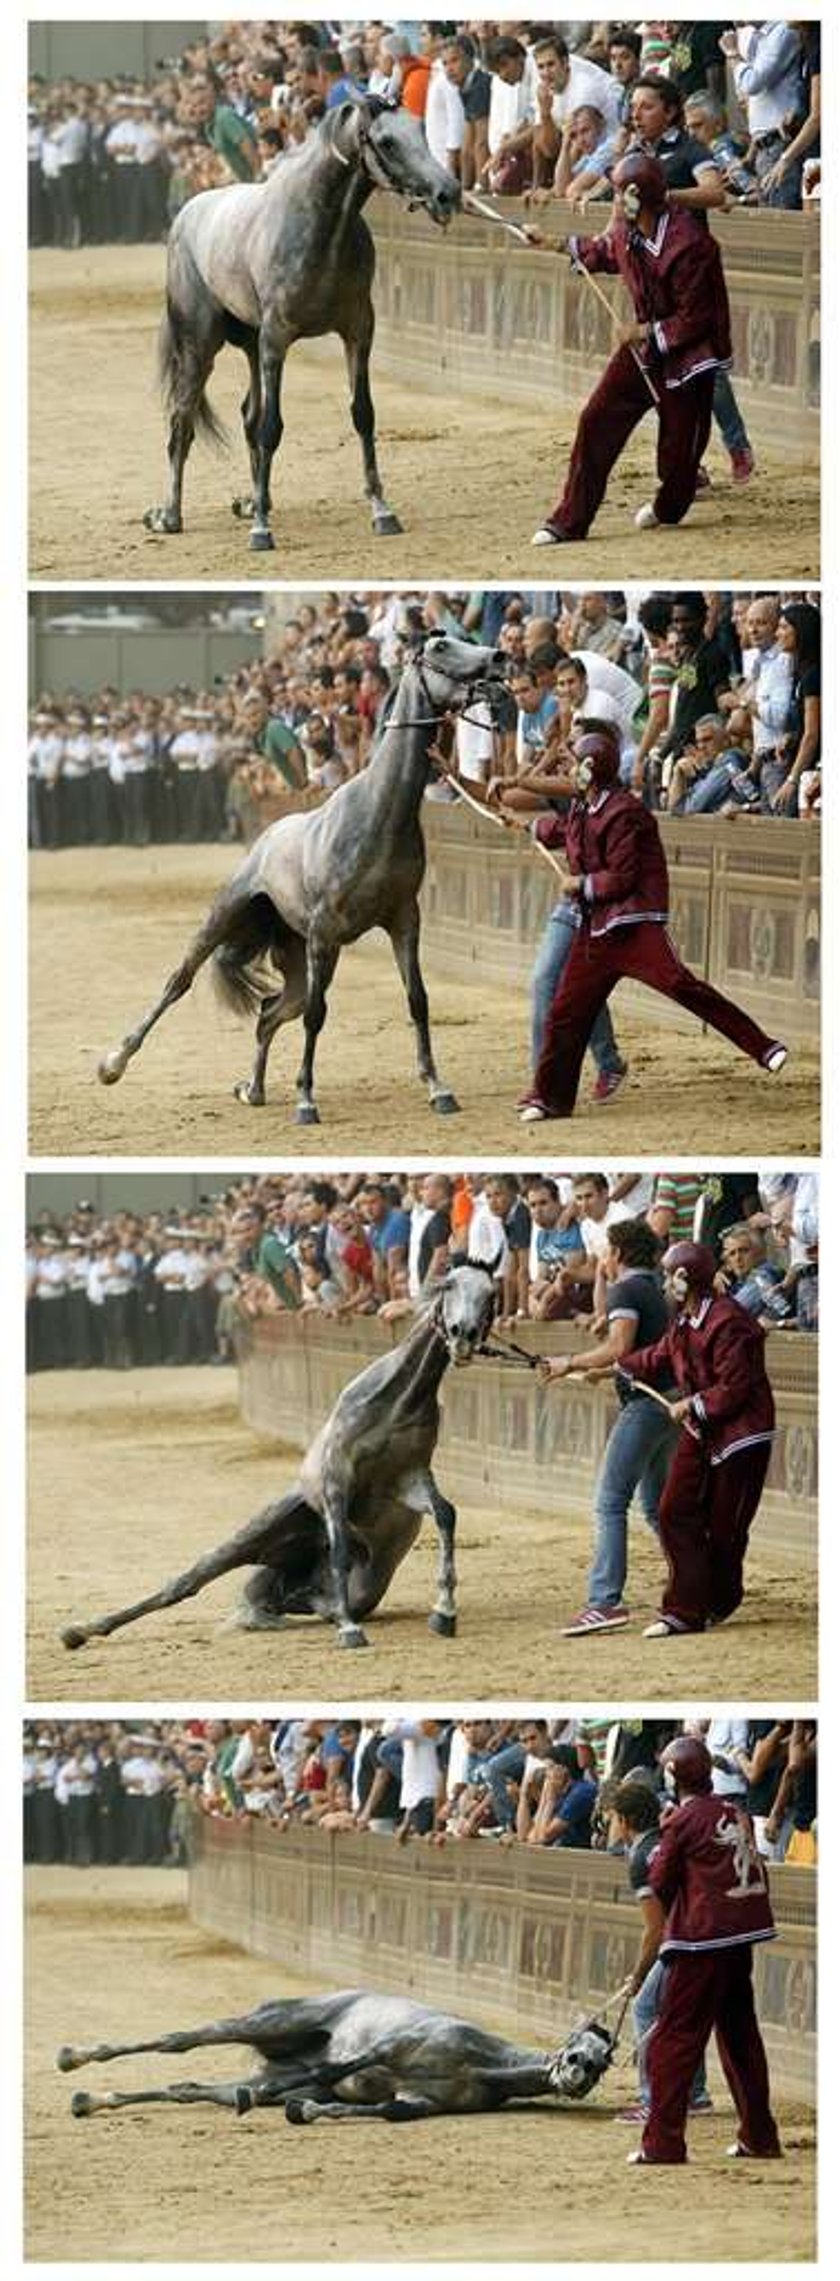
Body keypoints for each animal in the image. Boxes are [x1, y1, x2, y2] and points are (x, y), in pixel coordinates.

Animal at [60, 1249, 497, 1660]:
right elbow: (341, 1548)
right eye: (449, 1286)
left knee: (304, 1600)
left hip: (355, 1586)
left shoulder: (408, 1479)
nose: (462, 1334)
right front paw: (350, 1631)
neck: (396, 1403)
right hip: (262, 1531)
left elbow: (445, 1514)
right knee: (190, 1580)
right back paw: (80, 1630)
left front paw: (444, 1613)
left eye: (491, 1294)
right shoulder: (337, 1479)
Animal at [144, 94, 458, 552]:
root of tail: (187, 214)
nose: (447, 193)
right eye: (386, 141)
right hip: (200, 347)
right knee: (182, 420)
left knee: (247, 414)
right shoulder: (277, 339)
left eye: (420, 129)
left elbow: (362, 415)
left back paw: (254, 499)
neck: (319, 226)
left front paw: (382, 511)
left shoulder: (357, 332)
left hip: (251, 346)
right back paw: (169, 514)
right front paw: (260, 530)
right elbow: (270, 428)